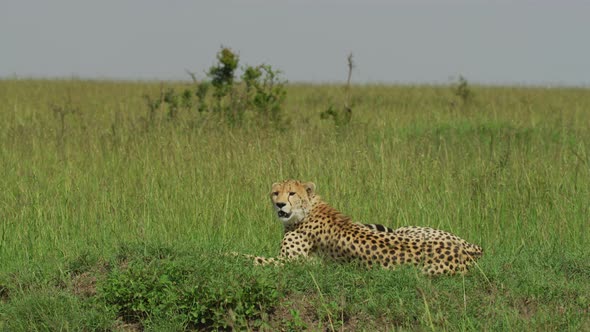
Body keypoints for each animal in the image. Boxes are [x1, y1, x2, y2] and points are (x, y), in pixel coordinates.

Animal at [251, 179, 486, 274]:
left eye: (291, 193)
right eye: (276, 193)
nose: (280, 204)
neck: (308, 209)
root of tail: (471, 249)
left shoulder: (290, 263)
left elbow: (254, 259)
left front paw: (240, 257)